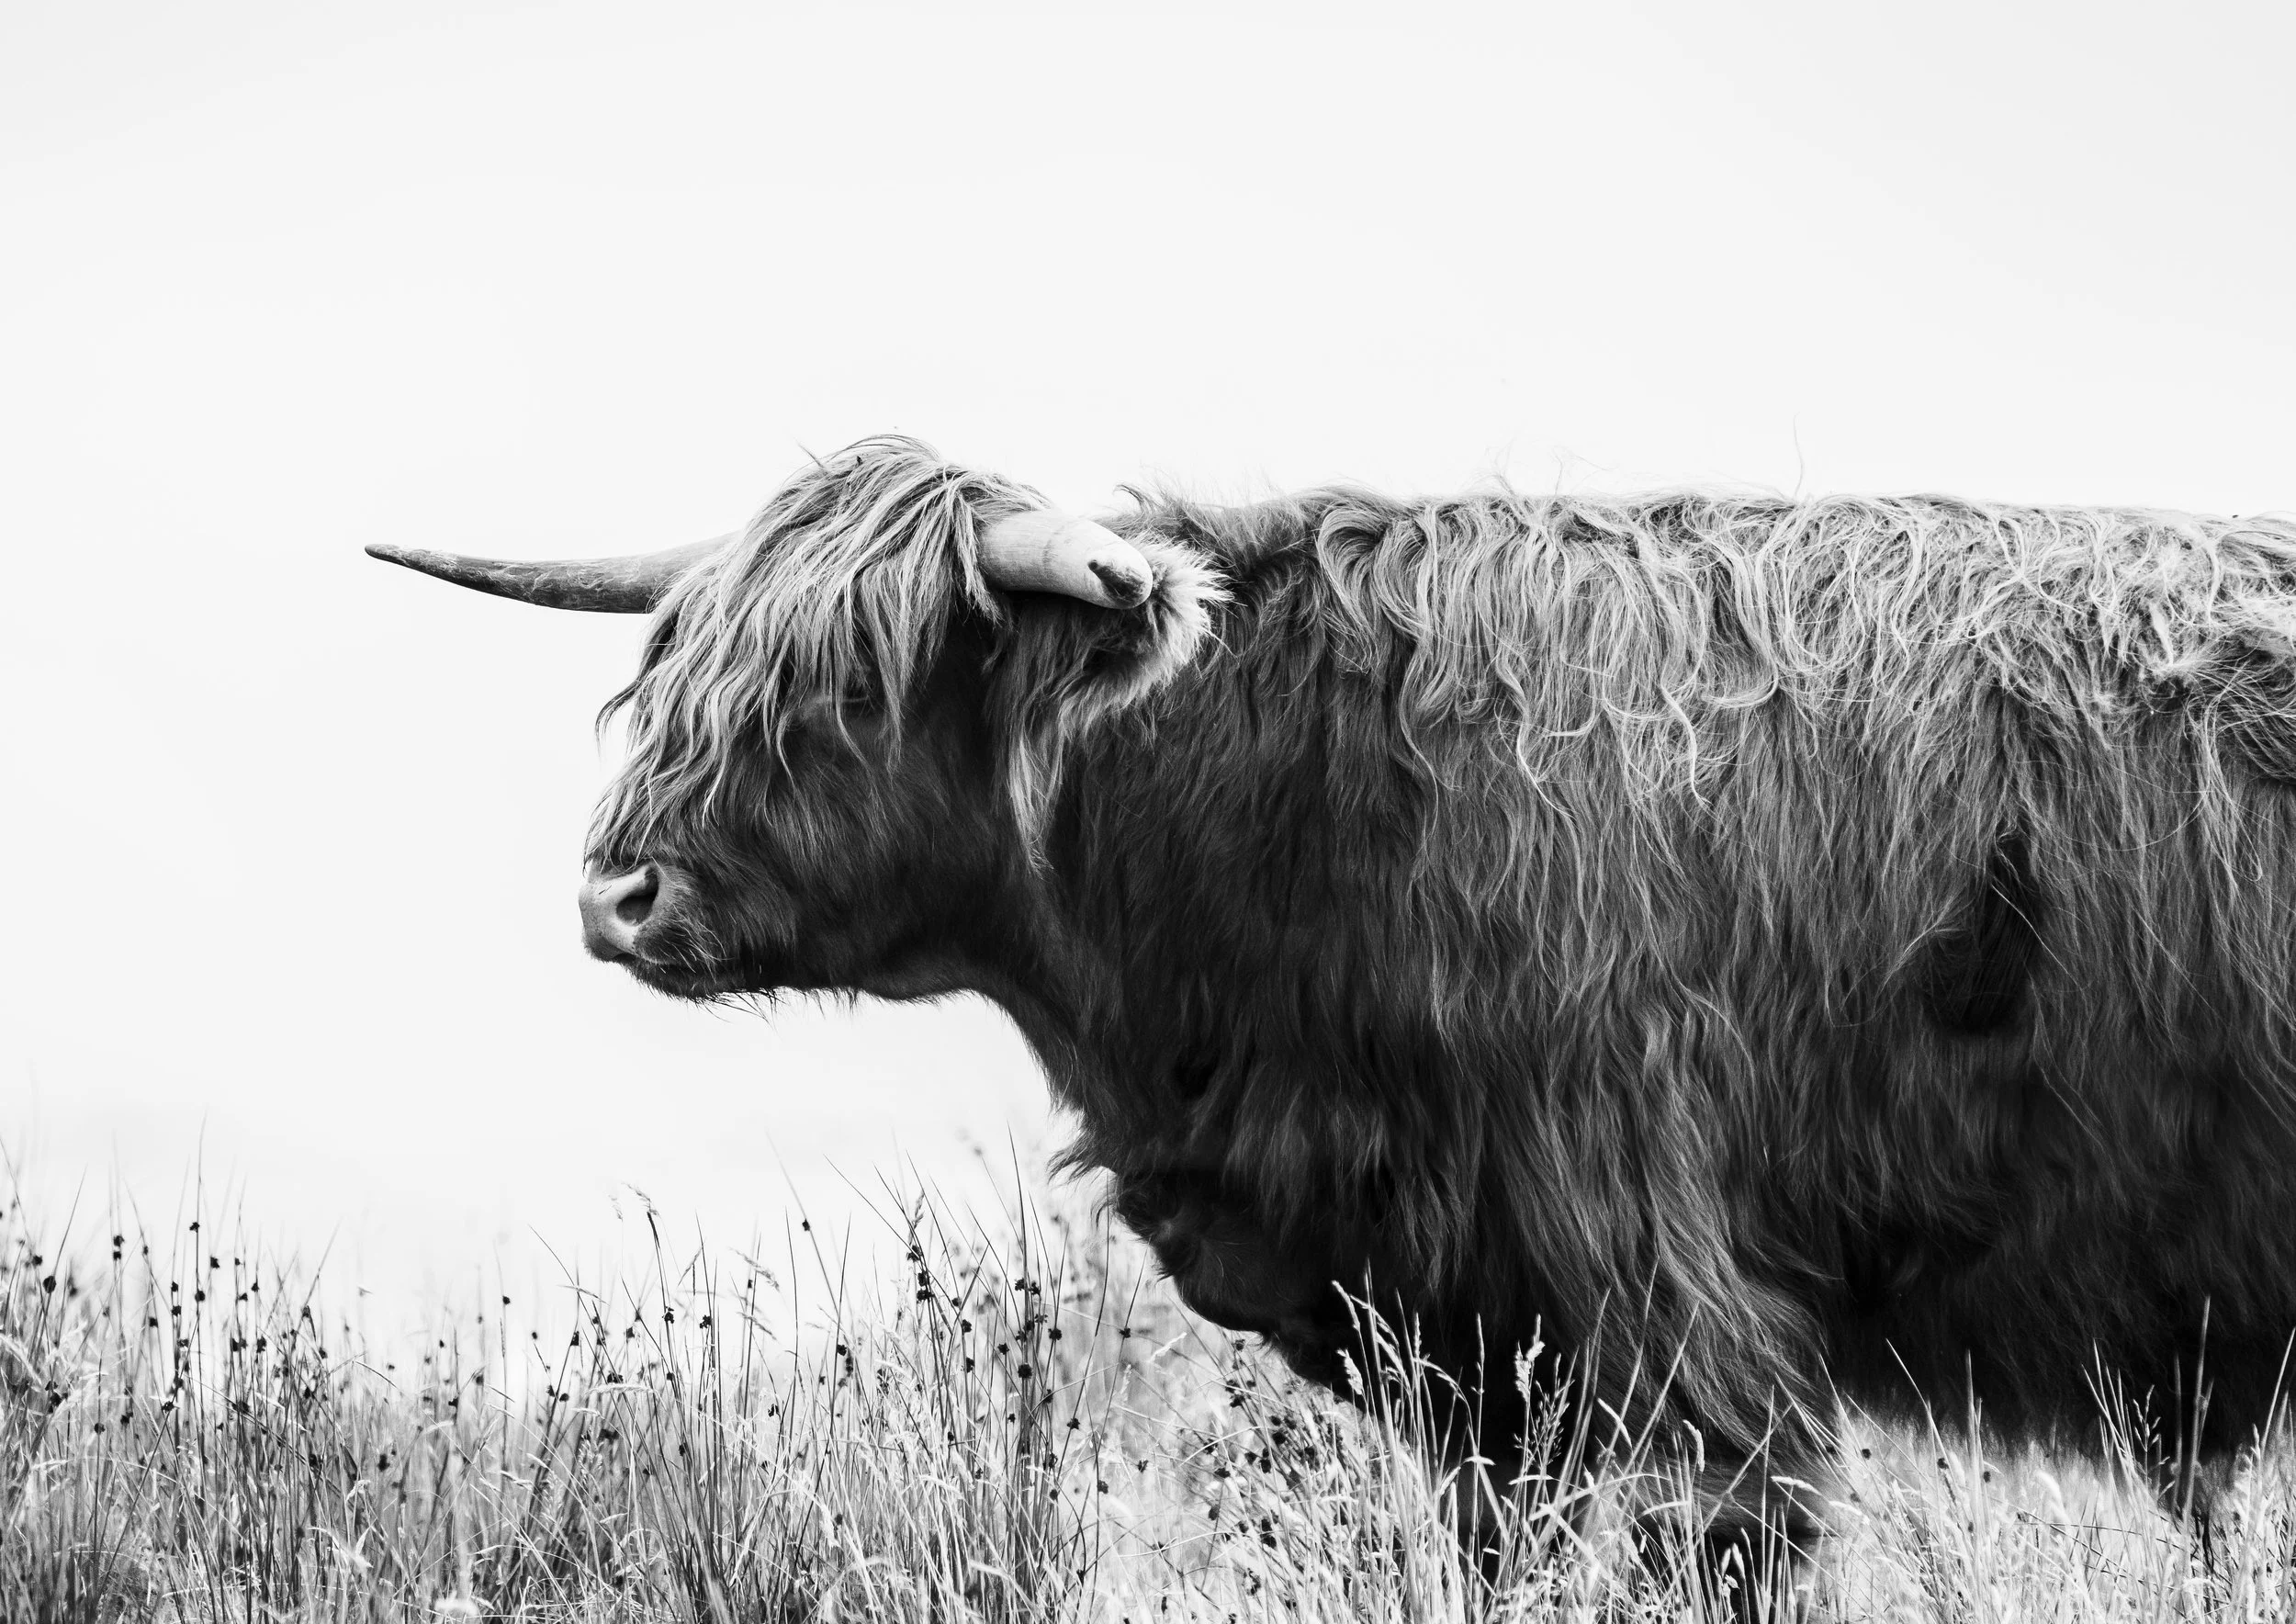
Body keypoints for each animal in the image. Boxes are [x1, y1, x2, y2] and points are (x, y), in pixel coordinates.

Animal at [373, 436, 2296, 1573]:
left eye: (848, 683)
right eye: (667, 673)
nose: (616, 895)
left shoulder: (1668, 1285)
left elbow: (1726, 1521)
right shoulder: (1476, 1344)